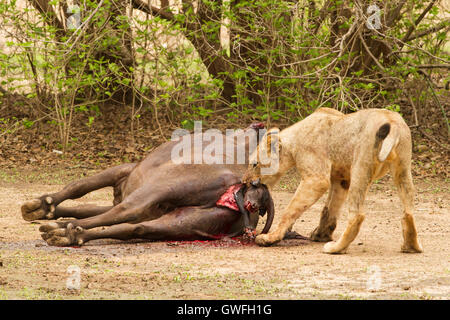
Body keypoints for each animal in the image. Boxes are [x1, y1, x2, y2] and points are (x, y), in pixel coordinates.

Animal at [243, 108, 422, 255]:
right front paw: (320, 235)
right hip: (403, 167)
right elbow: (329, 209)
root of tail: (392, 122)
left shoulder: (317, 178)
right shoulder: (342, 179)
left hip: (361, 166)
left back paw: (335, 248)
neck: (292, 144)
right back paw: (411, 247)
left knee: (357, 214)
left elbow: (290, 210)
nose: (245, 182)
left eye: (254, 164)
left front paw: (270, 237)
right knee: (408, 211)